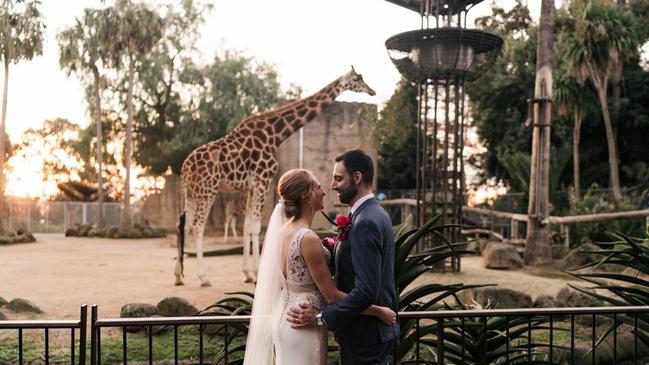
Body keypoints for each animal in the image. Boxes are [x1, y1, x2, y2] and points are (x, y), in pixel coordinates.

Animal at [175, 67, 374, 286]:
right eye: (357, 78)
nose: (372, 91)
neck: (276, 133)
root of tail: (185, 168)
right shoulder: (263, 178)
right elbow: (254, 226)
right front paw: (255, 273)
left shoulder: (251, 186)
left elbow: (247, 225)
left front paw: (247, 273)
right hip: (207, 190)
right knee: (197, 227)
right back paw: (203, 277)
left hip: (191, 193)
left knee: (183, 225)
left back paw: (179, 275)